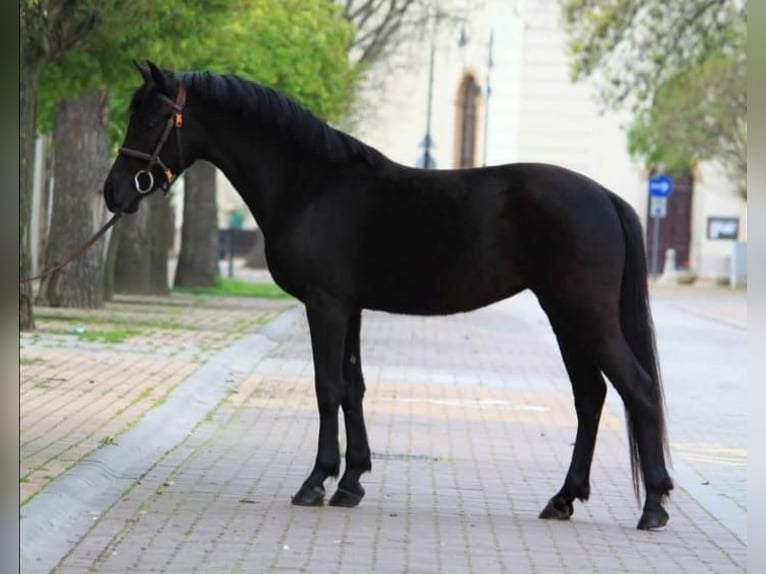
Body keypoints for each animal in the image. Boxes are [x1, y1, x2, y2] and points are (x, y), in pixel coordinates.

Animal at [104, 61, 673, 530]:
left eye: (152, 120)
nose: (114, 192)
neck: (311, 185)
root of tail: (606, 196)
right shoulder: (350, 307)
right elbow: (353, 387)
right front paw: (351, 482)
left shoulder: (326, 305)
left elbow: (327, 387)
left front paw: (316, 481)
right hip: (564, 316)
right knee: (590, 396)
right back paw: (564, 499)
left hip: (585, 315)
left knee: (638, 390)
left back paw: (654, 506)